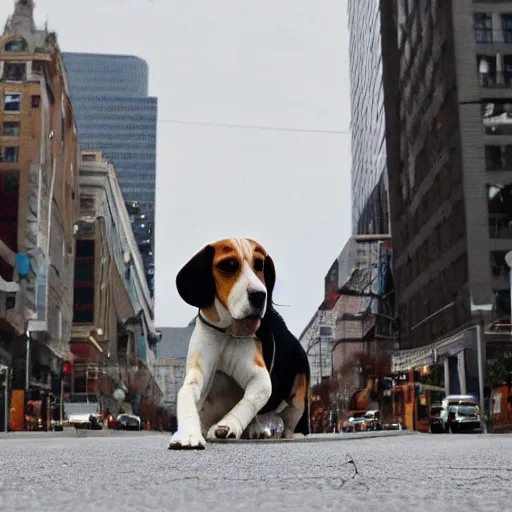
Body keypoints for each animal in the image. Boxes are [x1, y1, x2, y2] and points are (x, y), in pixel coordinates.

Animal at [170, 238, 310, 450]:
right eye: (229, 265)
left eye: (260, 264)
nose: (260, 295)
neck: (226, 333)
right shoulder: (197, 374)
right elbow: (186, 394)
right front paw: (188, 434)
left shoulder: (260, 379)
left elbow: (247, 403)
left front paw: (226, 426)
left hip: (298, 394)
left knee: (288, 424)